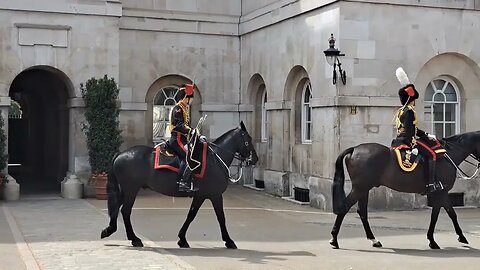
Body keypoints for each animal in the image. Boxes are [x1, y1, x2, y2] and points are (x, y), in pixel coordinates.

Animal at [101, 122, 258, 249]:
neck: (215, 160)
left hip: (126, 190)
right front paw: (229, 241)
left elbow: (191, 215)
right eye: (248, 140)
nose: (255, 159)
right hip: (131, 190)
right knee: (125, 211)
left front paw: (182, 239)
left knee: (117, 209)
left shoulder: (200, 195)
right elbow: (221, 218)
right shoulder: (215, 195)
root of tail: (121, 154)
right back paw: (134, 239)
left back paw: (109, 230)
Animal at [330, 131, 480, 249]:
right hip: (360, 188)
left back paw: (374, 240)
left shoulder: (440, 193)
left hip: (364, 189)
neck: (448, 155)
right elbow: (444, 215)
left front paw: (453, 237)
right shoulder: (441, 192)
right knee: (345, 208)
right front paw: (436, 240)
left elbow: (446, 214)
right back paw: (334, 240)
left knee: (362, 212)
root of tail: (355, 148)